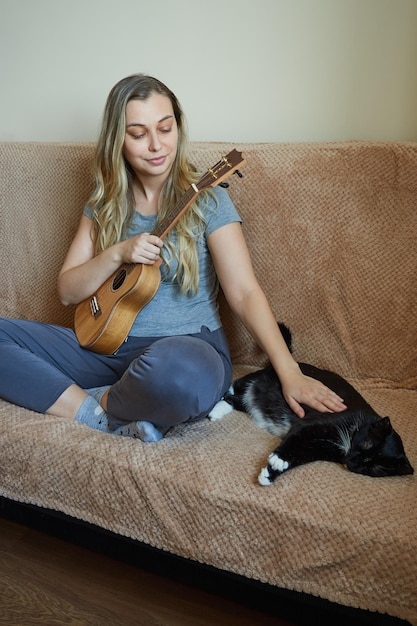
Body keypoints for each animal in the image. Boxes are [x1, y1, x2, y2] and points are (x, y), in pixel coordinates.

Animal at [210, 324, 412, 486]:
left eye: (375, 468)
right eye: (366, 444)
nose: (353, 462)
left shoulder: (320, 449)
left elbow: (301, 454)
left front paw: (270, 473)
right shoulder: (312, 422)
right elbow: (297, 435)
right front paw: (278, 459)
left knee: (239, 401)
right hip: (257, 380)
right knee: (236, 386)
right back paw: (215, 409)